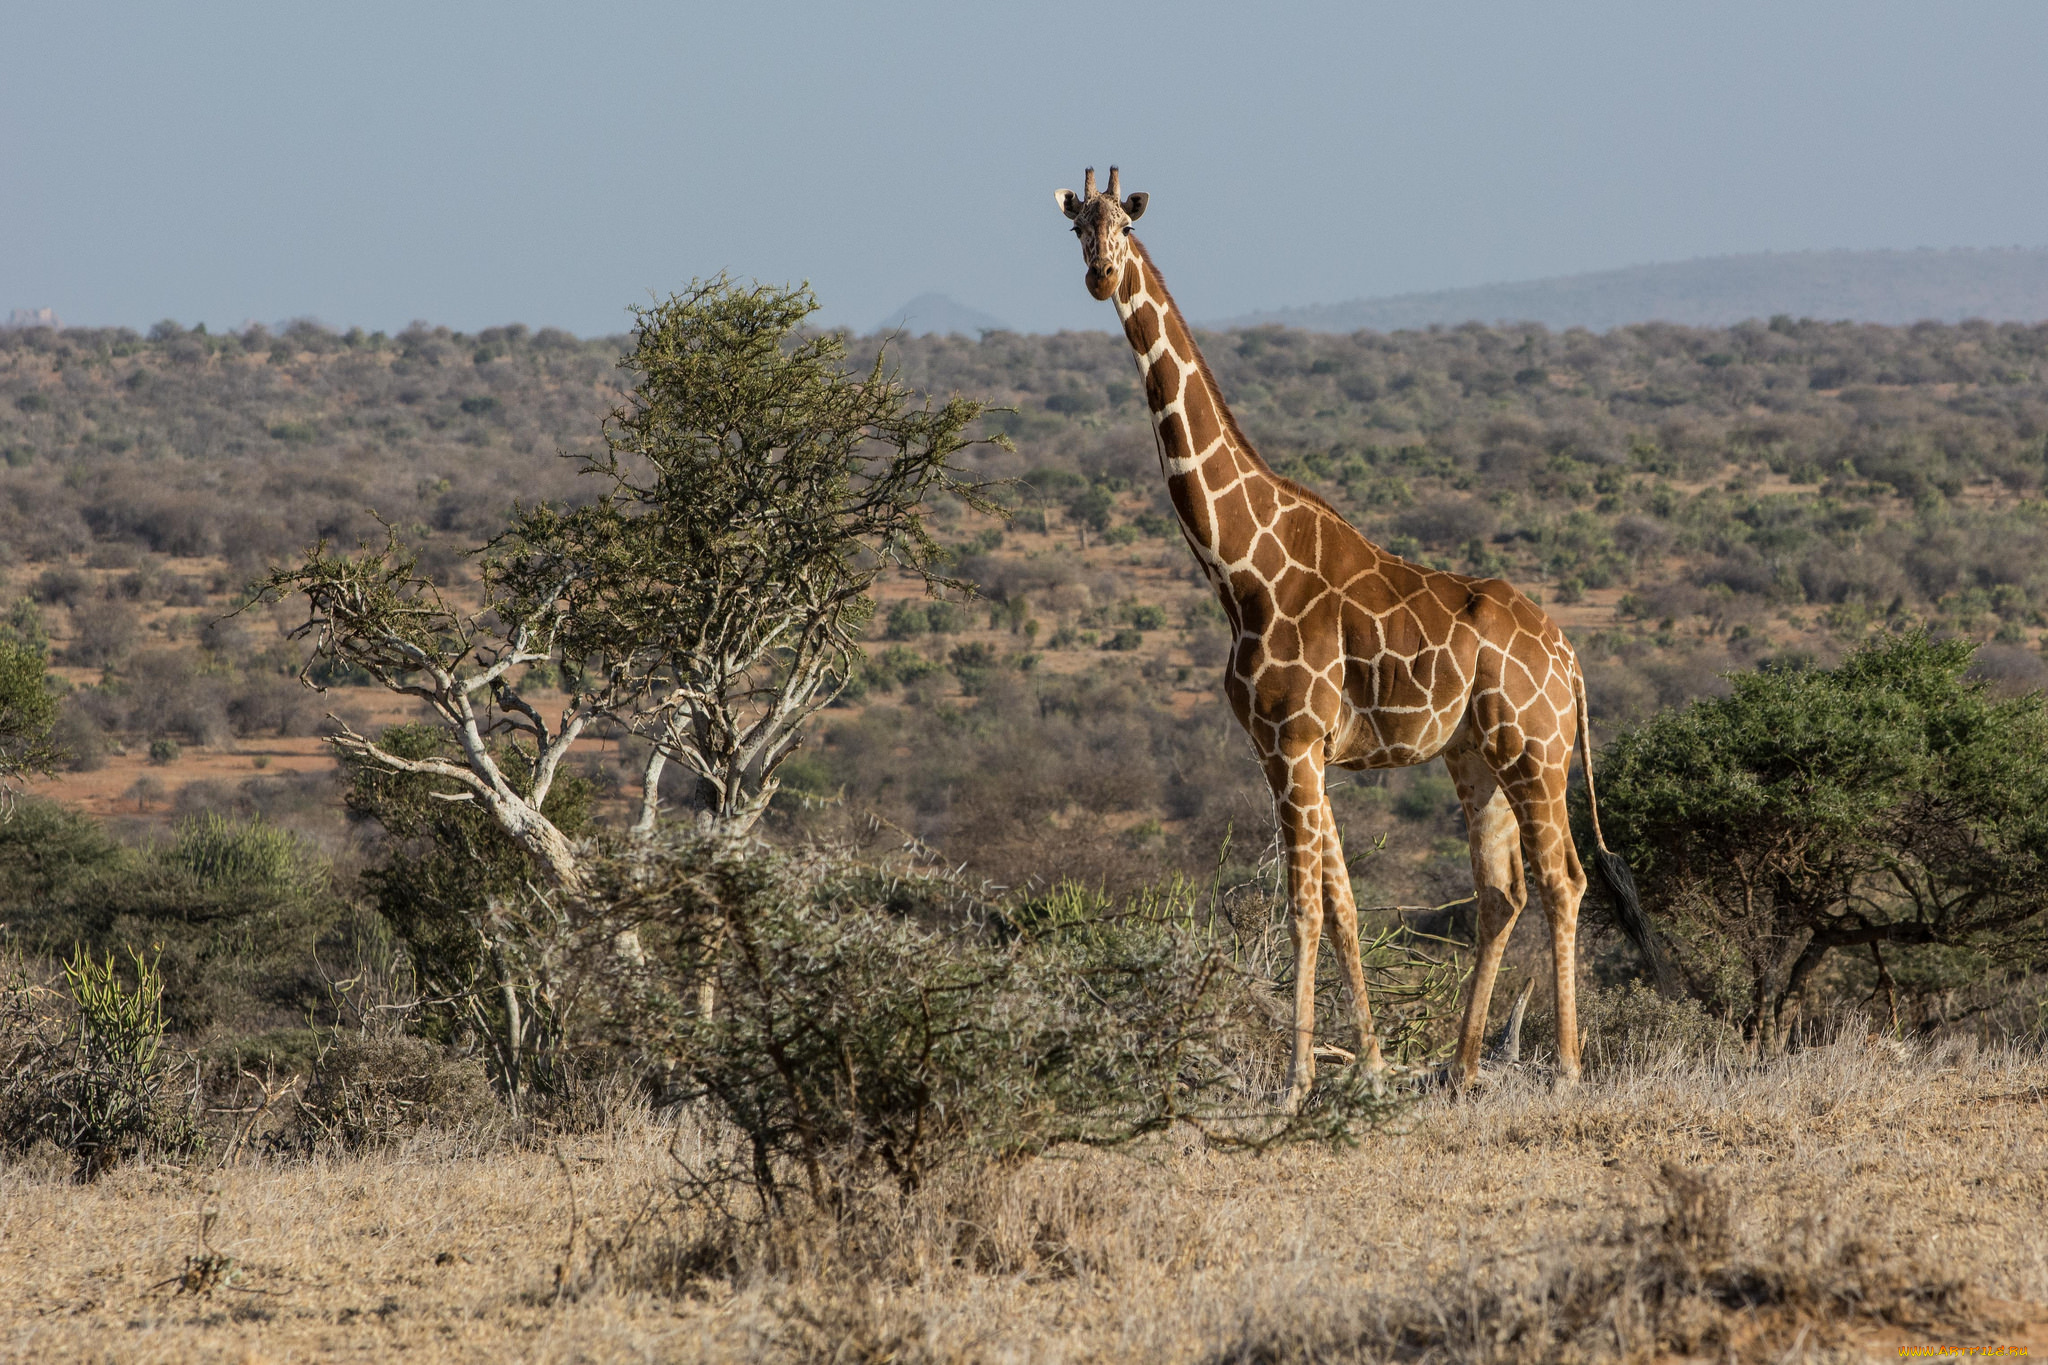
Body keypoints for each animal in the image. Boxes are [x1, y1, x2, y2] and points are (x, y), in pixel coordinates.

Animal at [1048, 165, 1654, 1105]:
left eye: (1125, 225)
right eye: (1078, 228)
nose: (1101, 277)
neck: (1240, 568)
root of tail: (1571, 659)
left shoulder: (1296, 741)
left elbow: (1302, 905)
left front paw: (1295, 1078)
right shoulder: (1285, 748)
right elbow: (1341, 906)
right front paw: (1366, 1064)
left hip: (1536, 750)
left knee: (1564, 879)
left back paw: (1562, 1068)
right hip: (1472, 754)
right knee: (1501, 891)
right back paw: (1460, 1065)